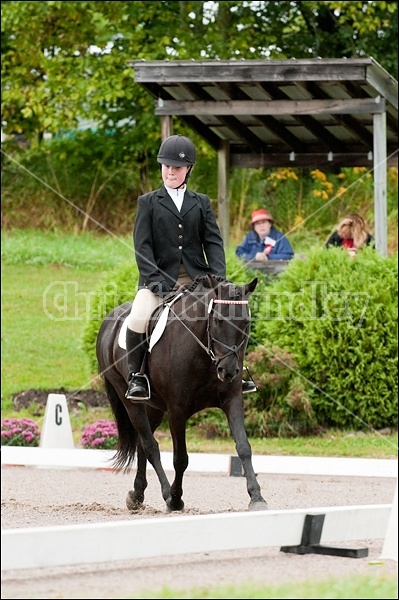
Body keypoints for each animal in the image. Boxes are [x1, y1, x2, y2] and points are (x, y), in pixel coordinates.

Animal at [95, 272, 268, 510]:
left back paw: (137, 494)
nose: (228, 371)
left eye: (246, 322)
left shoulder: (232, 400)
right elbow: (180, 458)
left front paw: (257, 497)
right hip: (129, 399)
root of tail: (110, 320)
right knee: (150, 445)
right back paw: (166, 493)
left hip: (154, 406)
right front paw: (176, 498)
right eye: (217, 320)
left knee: (142, 443)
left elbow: (243, 447)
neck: (205, 354)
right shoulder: (177, 410)